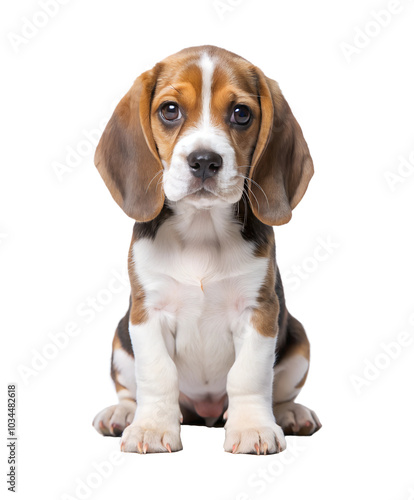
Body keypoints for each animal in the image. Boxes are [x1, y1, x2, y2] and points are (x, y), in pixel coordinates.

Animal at [93, 45, 320, 456]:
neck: (201, 231)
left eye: (241, 113)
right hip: (120, 342)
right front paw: (151, 428)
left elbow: (249, 376)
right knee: (130, 390)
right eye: (170, 110)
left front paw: (253, 428)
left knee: (278, 392)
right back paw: (122, 414)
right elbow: (157, 375)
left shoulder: (259, 311)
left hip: (299, 340)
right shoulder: (147, 313)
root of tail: (205, 412)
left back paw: (289, 413)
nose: (203, 161)